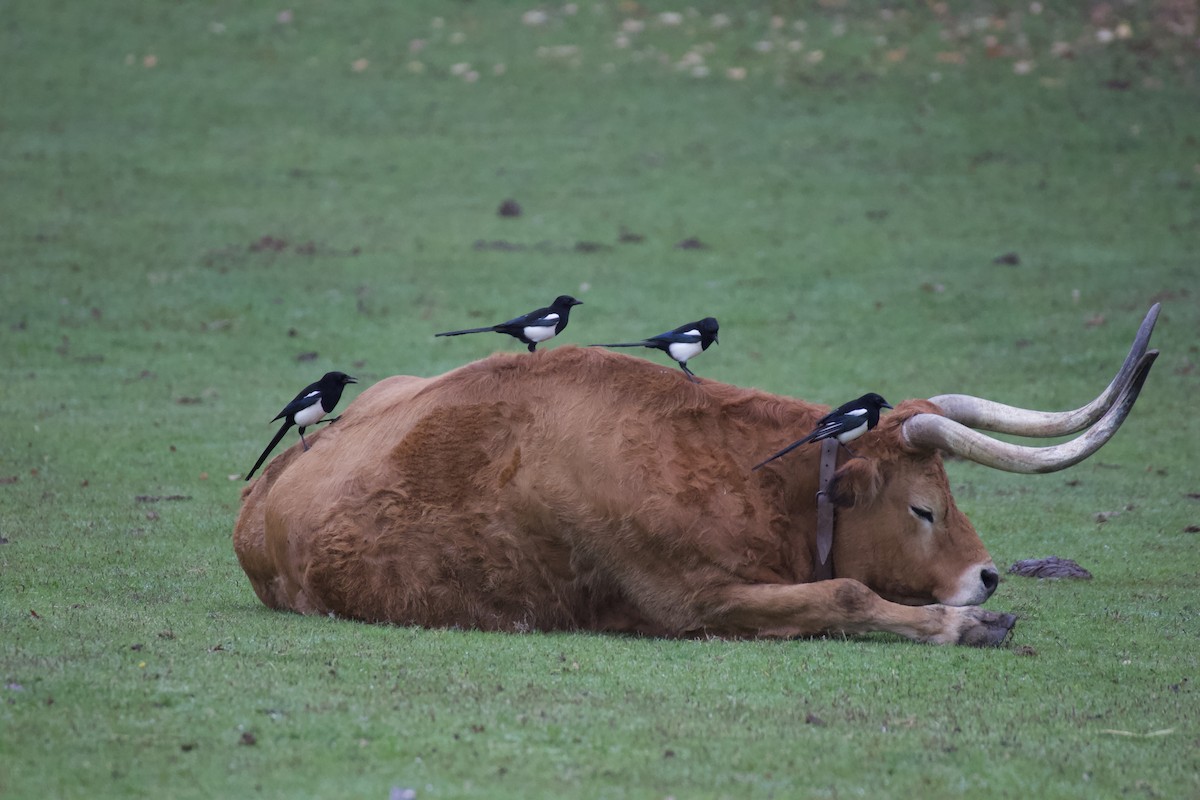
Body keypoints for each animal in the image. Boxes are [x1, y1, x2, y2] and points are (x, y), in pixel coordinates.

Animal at [229, 309, 1156, 647]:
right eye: (925, 508)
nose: (987, 578)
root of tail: (257, 502)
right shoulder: (692, 603)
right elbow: (846, 594)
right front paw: (959, 625)